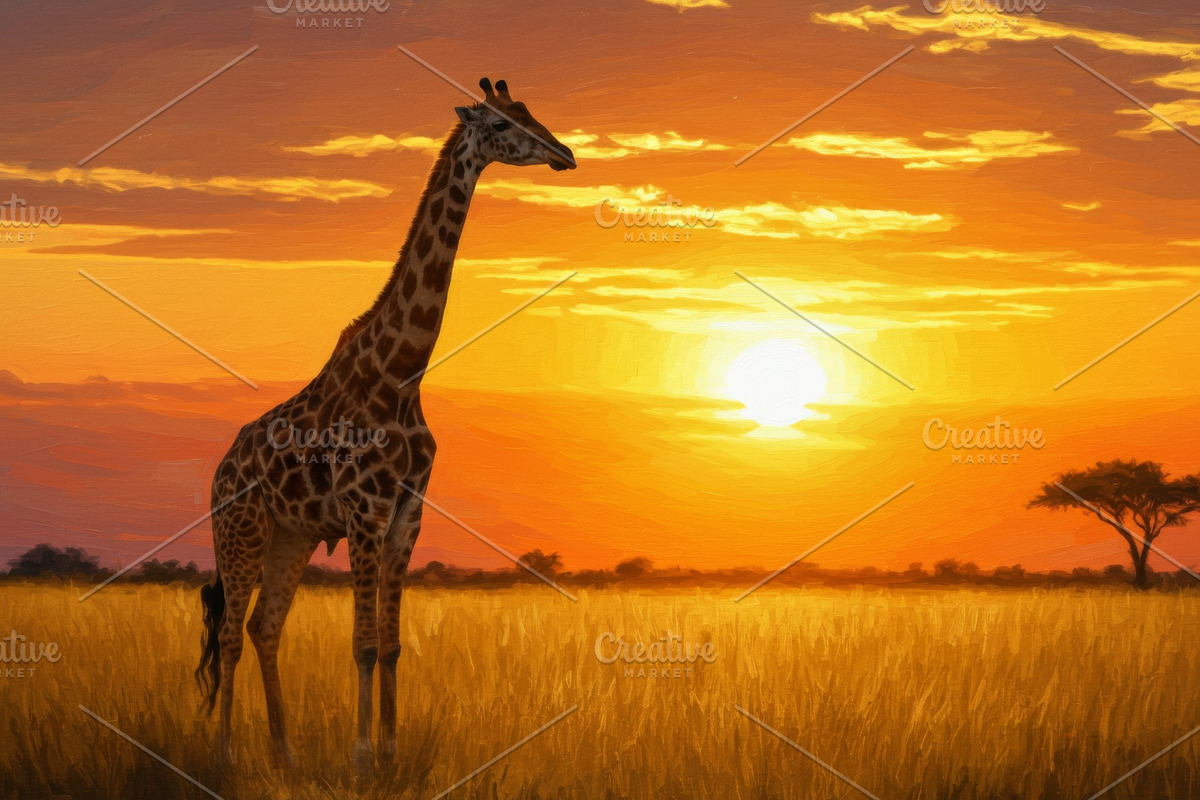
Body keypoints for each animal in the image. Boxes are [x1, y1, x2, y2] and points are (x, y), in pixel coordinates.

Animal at [195, 78, 575, 777]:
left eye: (531, 112)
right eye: (502, 124)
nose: (565, 154)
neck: (401, 373)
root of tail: (217, 473)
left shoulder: (407, 513)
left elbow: (393, 644)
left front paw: (393, 754)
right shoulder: (365, 511)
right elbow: (365, 643)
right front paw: (361, 757)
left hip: (290, 537)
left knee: (264, 628)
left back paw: (286, 755)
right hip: (240, 531)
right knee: (230, 634)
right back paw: (225, 756)